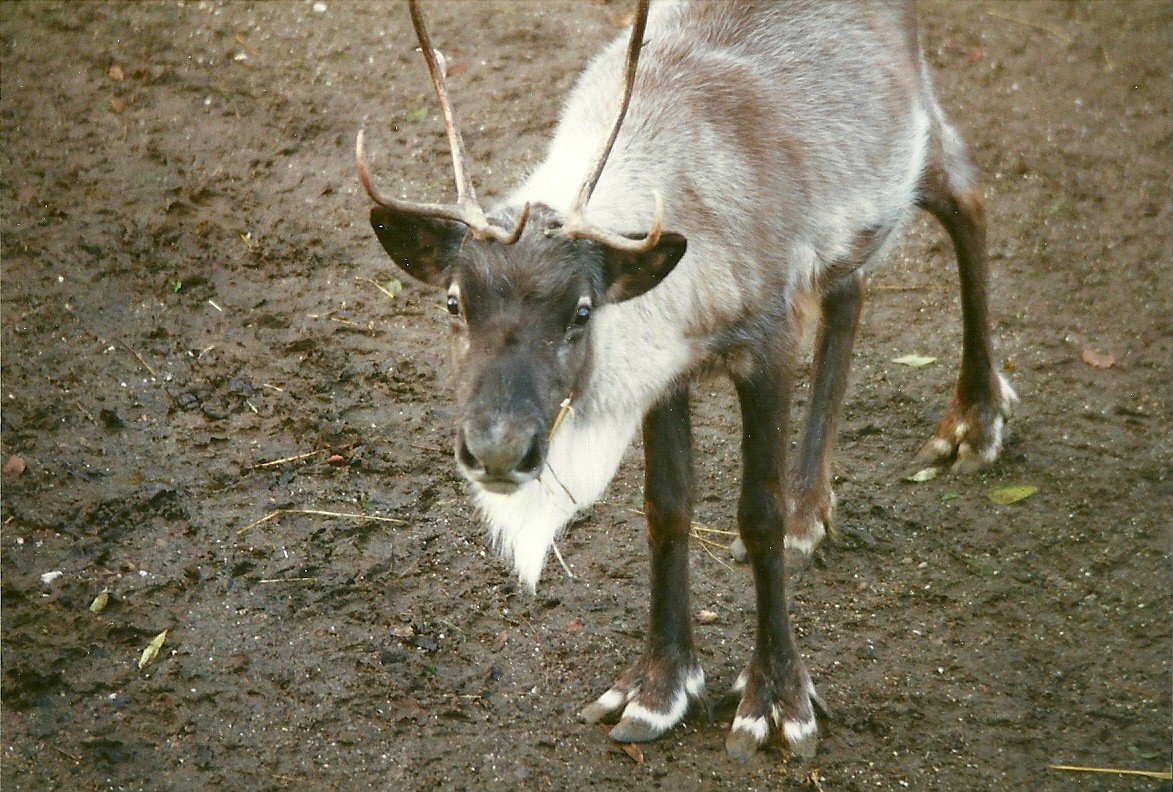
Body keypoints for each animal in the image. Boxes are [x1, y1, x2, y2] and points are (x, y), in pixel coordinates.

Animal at [357, 0, 1016, 761]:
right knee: (851, 290)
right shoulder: (661, 372)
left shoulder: (769, 341)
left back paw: (974, 420)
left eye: (582, 310)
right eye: (453, 303)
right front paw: (657, 688)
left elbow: (755, 516)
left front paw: (776, 700)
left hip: (913, 137)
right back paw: (810, 510)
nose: (497, 450)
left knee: (968, 196)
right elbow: (666, 509)